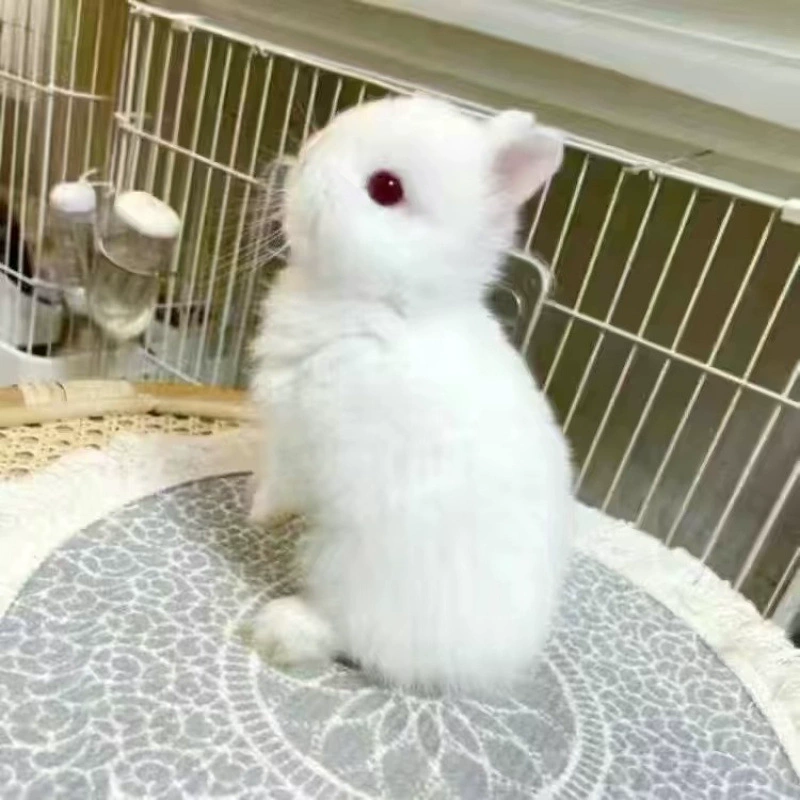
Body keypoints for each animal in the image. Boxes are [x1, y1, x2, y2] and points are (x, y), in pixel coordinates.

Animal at [249, 95, 573, 692]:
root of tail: (490, 665)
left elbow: (280, 484)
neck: (388, 304)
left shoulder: (299, 436)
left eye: (386, 188)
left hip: (346, 564)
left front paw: (256, 512)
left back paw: (281, 629)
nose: (304, 160)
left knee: (349, 635)